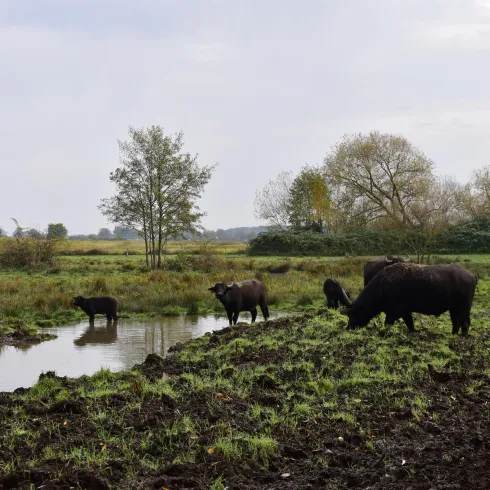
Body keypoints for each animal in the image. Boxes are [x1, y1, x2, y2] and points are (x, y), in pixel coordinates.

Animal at [344, 262, 478, 334]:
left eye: (352, 313)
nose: (348, 328)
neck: (382, 287)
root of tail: (472, 275)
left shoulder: (393, 313)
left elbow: (387, 324)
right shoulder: (405, 312)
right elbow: (410, 324)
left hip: (464, 307)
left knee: (465, 324)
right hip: (454, 309)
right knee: (456, 323)